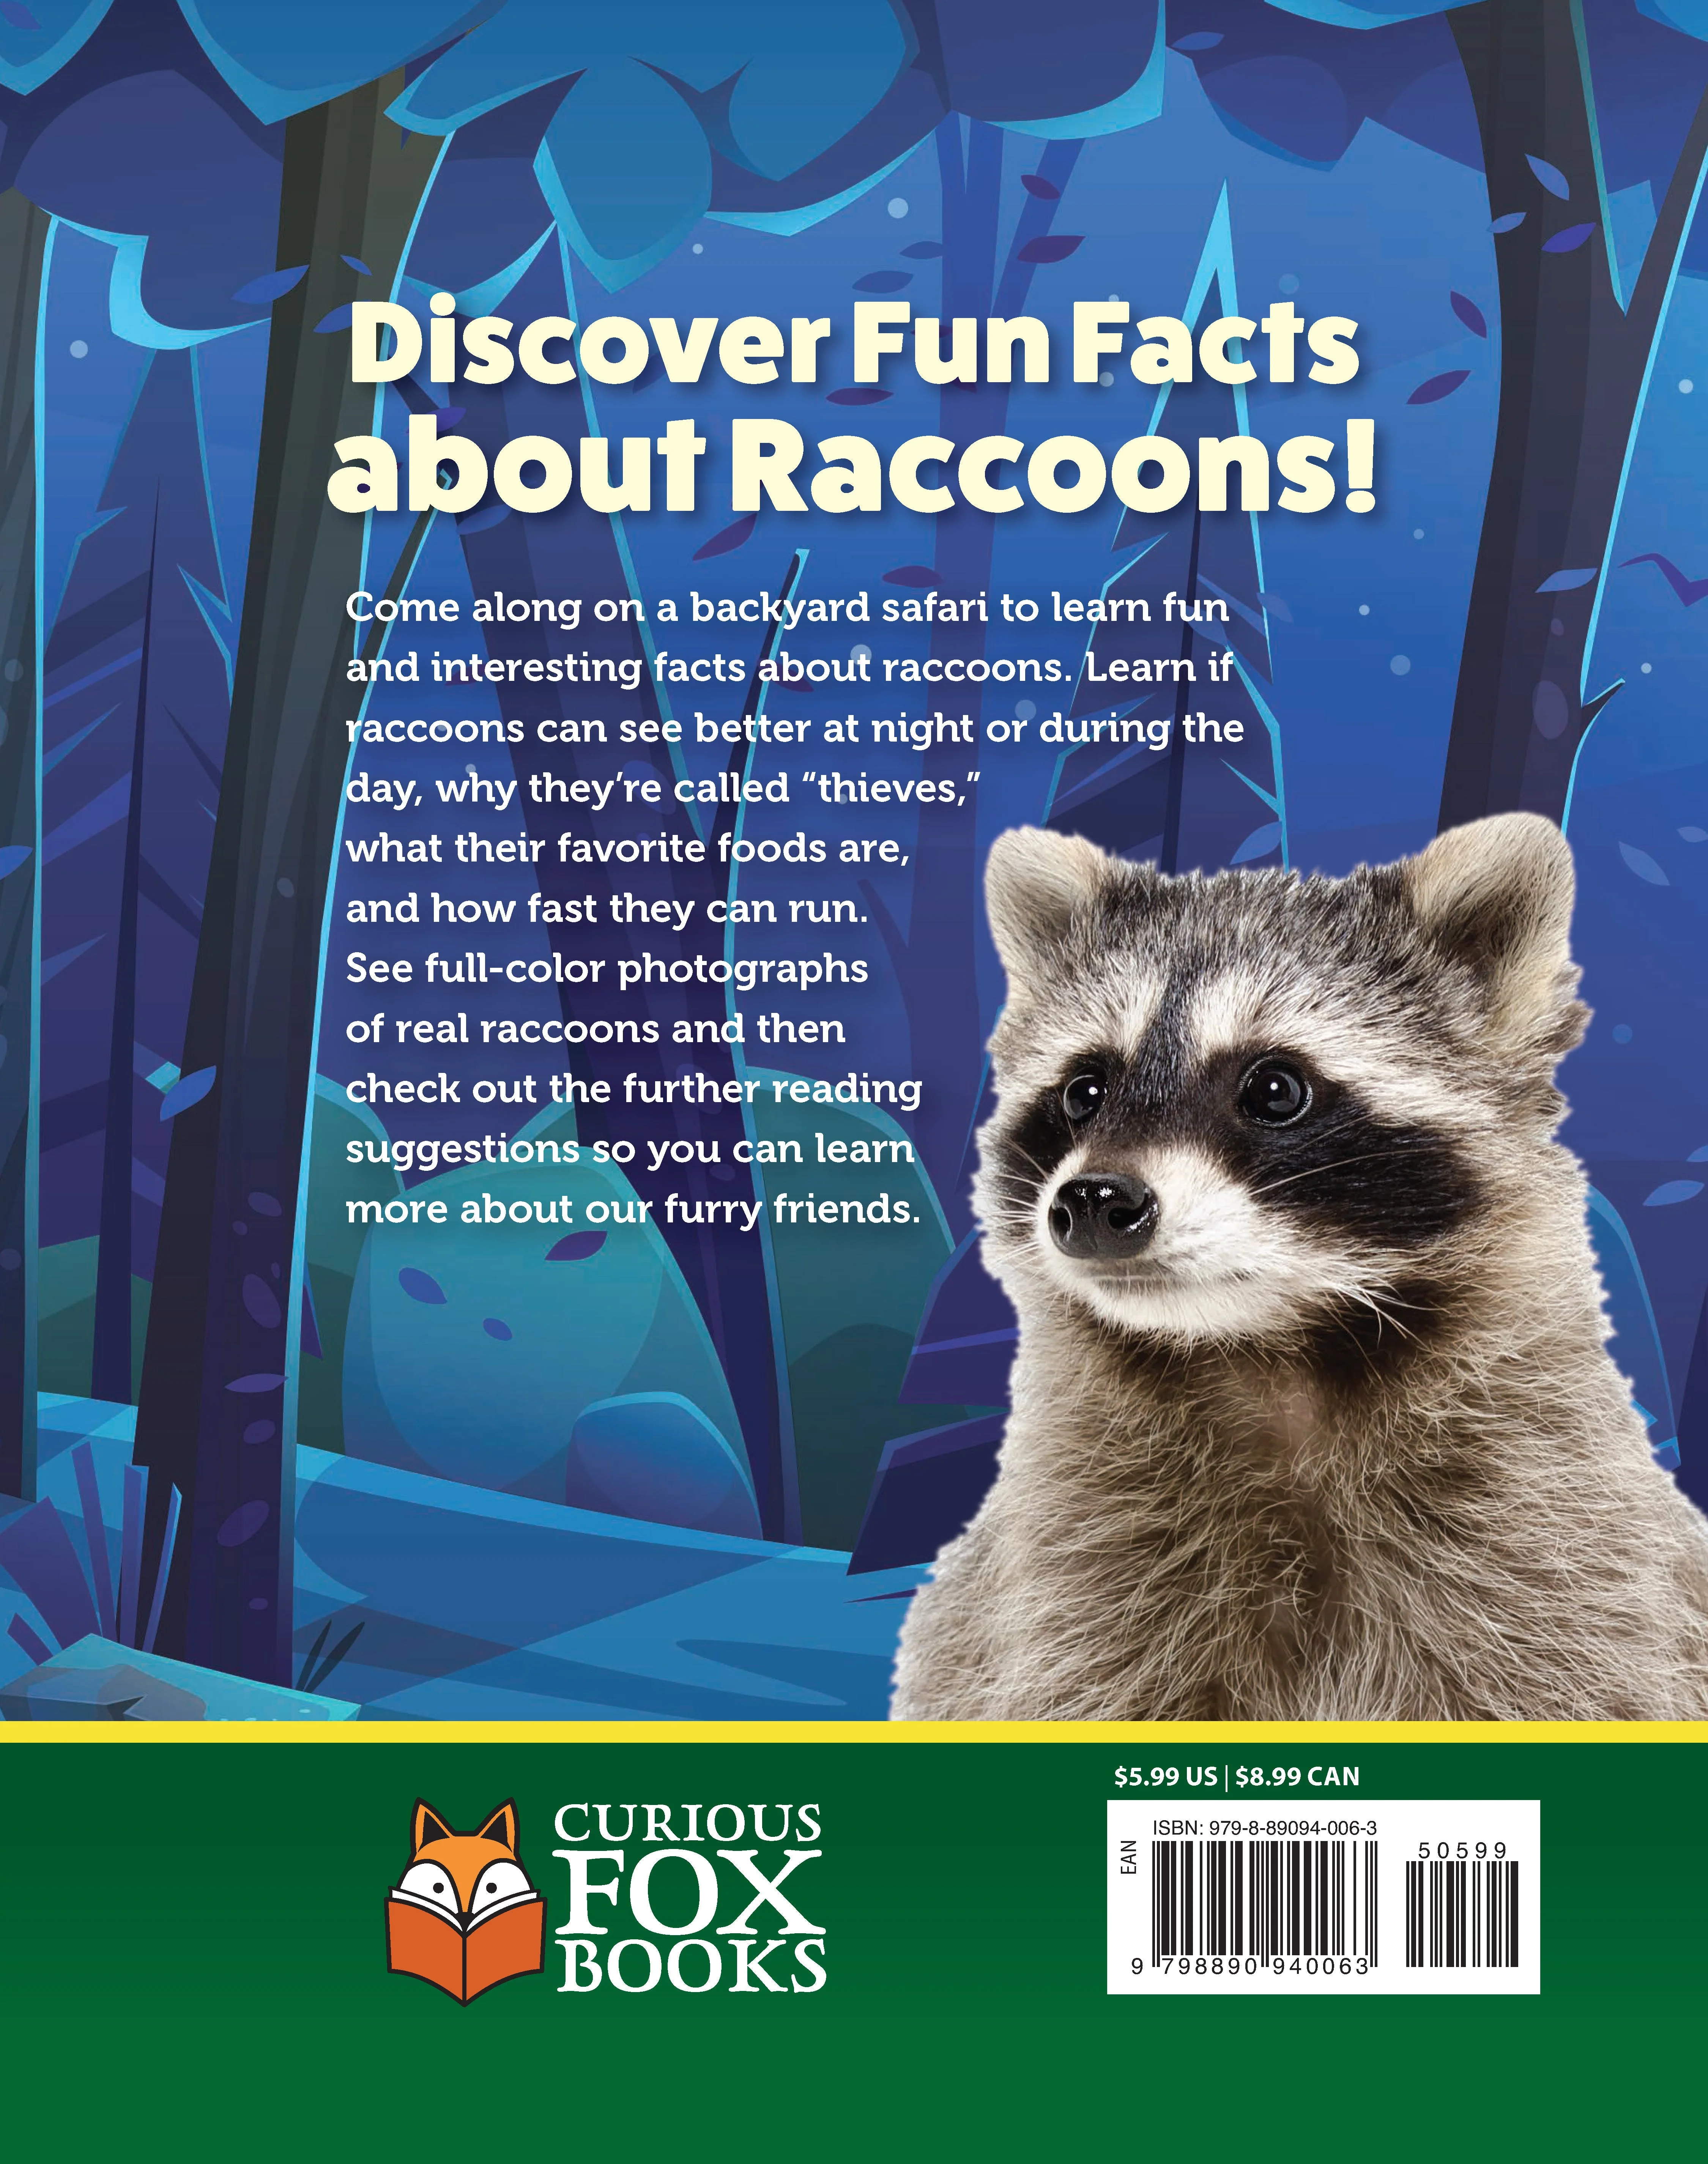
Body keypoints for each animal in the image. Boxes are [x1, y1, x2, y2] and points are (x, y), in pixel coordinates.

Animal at [890, 814, 1708, 1722]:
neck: (1269, 1353)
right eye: (1084, 1090)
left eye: (1276, 1089)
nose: (1096, 1200)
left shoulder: (1555, 1542)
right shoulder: (1077, 1572)